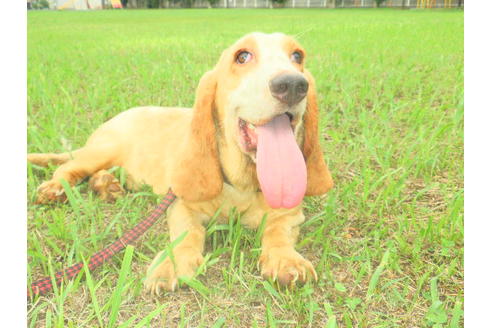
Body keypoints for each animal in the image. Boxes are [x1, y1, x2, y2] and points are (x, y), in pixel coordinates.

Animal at [27, 32, 334, 294]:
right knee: (68, 169)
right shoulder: (181, 205)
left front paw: (285, 260)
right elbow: (188, 233)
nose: (293, 84)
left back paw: (108, 186)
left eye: (297, 56)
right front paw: (172, 264)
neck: (241, 184)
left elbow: (278, 233)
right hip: (103, 150)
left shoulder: (289, 214)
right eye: (243, 56)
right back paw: (54, 189)